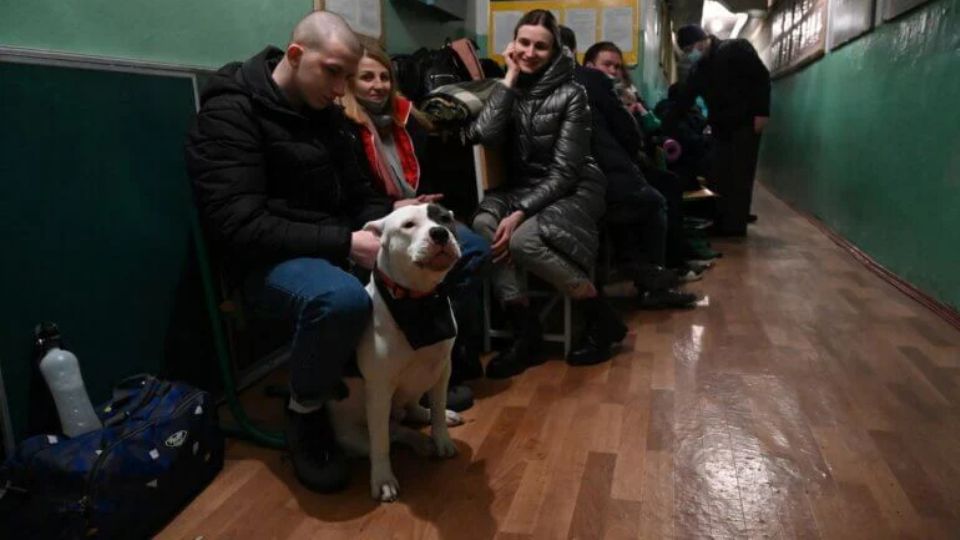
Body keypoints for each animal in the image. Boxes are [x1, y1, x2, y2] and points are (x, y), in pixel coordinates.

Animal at [326, 204, 464, 502]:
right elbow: (381, 444)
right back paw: (419, 441)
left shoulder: (442, 369)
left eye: (445, 218)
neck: (419, 301)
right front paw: (383, 480)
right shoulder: (379, 391)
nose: (440, 233)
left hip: (420, 382)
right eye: (408, 225)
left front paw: (442, 437)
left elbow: (437, 408)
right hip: (354, 436)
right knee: (394, 433)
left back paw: (432, 420)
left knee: (412, 410)